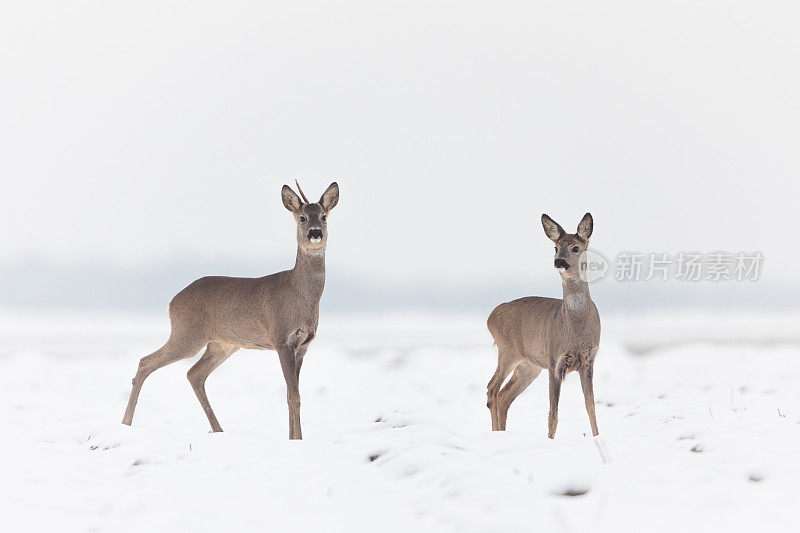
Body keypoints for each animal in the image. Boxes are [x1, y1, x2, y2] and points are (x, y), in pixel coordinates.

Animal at [121, 181, 338, 438]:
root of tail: (172, 302)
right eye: (302, 217)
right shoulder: (281, 338)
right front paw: (296, 440)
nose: (315, 233)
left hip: (221, 344)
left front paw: (294, 438)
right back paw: (125, 422)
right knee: (146, 362)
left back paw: (218, 430)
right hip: (187, 335)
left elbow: (290, 395)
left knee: (194, 374)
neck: (301, 294)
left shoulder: (303, 346)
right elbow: (294, 396)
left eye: (324, 216)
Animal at [488, 212, 600, 436]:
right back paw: (496, 433)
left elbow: (590, 406)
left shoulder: (589, 360)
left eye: (576, 247)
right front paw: (549, 440)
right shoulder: (554, 360)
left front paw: (598, 436)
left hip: (528, 366)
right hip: (507, 351)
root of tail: (490, 317)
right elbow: (553, 413)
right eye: (555, 247)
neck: (576, 328)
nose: (559, 262)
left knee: (504, 396)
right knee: (492, 389)